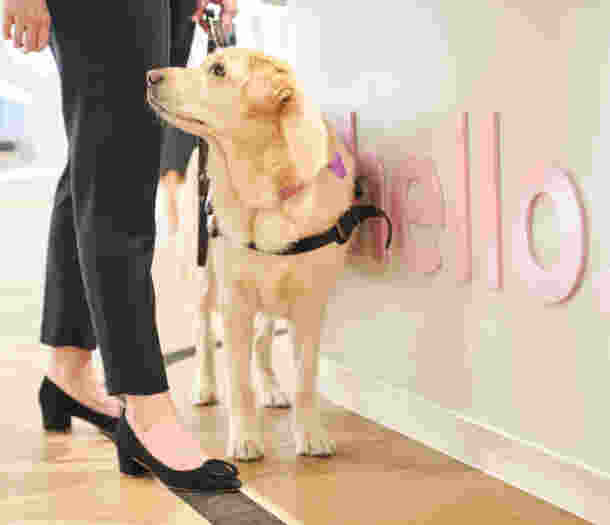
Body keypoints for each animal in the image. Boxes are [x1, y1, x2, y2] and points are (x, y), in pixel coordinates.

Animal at [148, 48, 356, 458]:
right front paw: (245, 438)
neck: (265, 195)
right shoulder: (235, 304)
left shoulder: (310, 306)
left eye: (217, 70)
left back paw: (272, 388)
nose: (150, 76)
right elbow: (239, 383)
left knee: (262, 341)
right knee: (203, 332)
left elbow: (306, 378)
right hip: (204, 276)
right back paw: (205, 386)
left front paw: (310, 433)